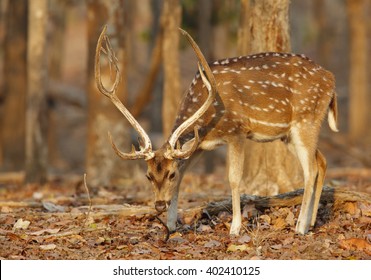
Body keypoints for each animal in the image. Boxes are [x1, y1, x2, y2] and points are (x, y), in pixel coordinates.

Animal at [96, 26, 340, 235]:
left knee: (310, 169)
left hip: (307, 118)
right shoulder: (199, 146)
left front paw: (235, 228)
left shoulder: (237, 131)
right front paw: (172, 224)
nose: (158, 205)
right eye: (148, 175)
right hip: (288, 134)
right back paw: (311, 222)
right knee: (321, 161)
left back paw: (300, 226)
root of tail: (331, 79)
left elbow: (233, 179)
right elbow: (185, 177)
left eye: (170, 173)